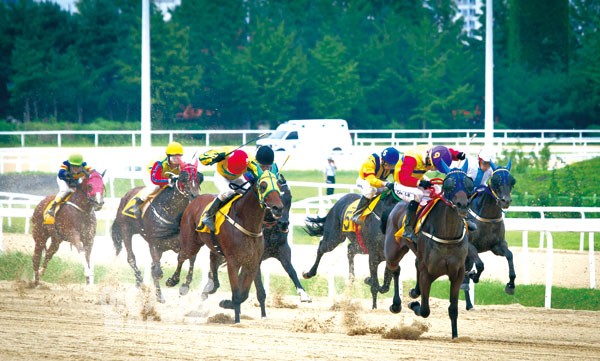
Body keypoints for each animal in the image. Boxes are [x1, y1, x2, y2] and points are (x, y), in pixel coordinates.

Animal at [112, 162, 204, 302]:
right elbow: (157, 272)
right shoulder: (155, 245)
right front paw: (160, 295)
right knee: (131, 258)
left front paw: (178, 283)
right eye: (183, 179)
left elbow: (186, 258)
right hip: (126, 230)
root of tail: (125, 197)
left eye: (199, 178)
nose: (194, 196)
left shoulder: (184, 242)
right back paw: (139, 280)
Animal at [166, 170, 284, 322]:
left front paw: (228, 304)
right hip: (190, 242)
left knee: (212, 261)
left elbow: (245, 293)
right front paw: (236, 319)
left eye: (279, 185)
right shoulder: (233, 262)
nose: (278, 208)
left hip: (215, 248)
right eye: (263, 186)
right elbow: (237, 293)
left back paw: (211, 287)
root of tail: (195, 199)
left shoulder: (252, 262)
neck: (247, 223)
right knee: (183, 256)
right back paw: (175, 282)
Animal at [384, 160, 474, 338]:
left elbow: (453, 309)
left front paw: (455, 336)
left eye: (468, 183)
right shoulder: (428, 273)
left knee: (414, 265)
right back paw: (396, 304)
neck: (448, 236)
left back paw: (414, 292)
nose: (462, 205)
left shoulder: (458, 273)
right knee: (395, 269)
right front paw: (413, 305)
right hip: (392, 251)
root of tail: (398, 204)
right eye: (449, 184)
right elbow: (425, 310)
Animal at [462, 160, 516, 310]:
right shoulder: (470, 246)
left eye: (512, 181)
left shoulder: (497, 245)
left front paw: (511, 285)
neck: (488, 218)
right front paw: (475, 276)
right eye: (495, 180)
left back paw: (469, 304)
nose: (505, 201)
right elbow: (480, 265)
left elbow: (509, 255)